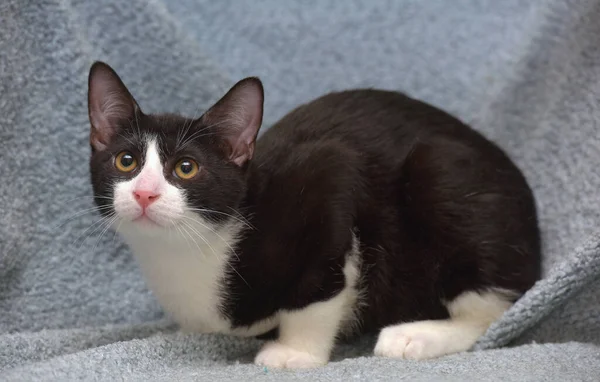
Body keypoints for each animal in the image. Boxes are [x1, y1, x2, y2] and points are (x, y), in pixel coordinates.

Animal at [86, 62, 540, 368]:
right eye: (126, 161)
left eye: (185, 167)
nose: (144, 193)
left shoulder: (329, 177)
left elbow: (318, 288)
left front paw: (295, 352)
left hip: (442, 174)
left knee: (495, 310)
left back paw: (417, 335)